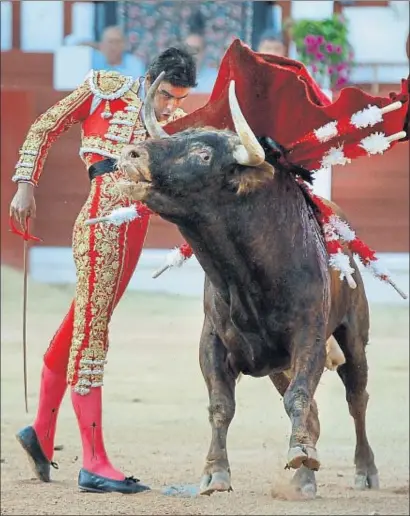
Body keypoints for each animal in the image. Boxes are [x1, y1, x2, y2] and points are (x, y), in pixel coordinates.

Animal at [117, 74, 378, 498]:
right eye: (181, 136)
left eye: (203, 154)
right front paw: (215, 473)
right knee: (314, 409)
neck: (246, 277)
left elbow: (299, 396)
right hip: (279, 365)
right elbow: (222, 405)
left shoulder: (309, 337)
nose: (131, 154)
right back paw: (304, 479)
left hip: (353, 335)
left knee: (356, 397)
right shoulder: (213, 341)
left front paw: (299, 454)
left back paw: (364, 470)